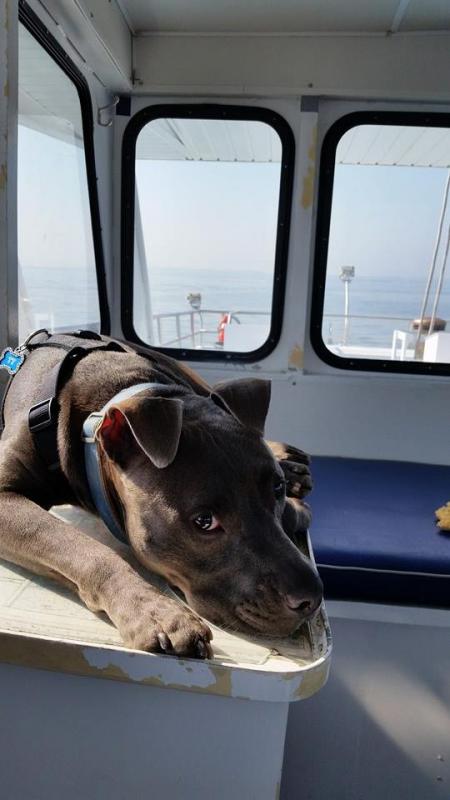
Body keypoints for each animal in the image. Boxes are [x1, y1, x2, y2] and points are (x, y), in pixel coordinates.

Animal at [0, 333, 322, 659]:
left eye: (277, 488)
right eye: (204, 521)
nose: (311, 596)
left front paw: (293, 504)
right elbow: (86, 549)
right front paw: (157, 614)